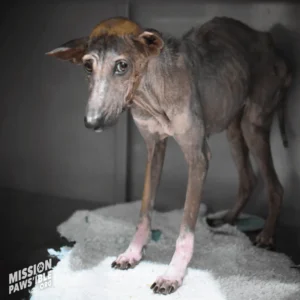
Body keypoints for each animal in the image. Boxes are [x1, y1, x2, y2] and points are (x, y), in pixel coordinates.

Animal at [46, 15, 290, 292]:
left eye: (122, 66)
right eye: (88, 67)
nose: (92, 122)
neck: (150, 93)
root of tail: (268, 38)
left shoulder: (198, 157)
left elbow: (186, 229)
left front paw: (173, 273)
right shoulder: (154, 149)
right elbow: (144, 211)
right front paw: (133, 252)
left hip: (253, 126)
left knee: (275, 186)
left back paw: (267, 235)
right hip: (234, 128)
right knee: (249, 179)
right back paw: (227, 219)